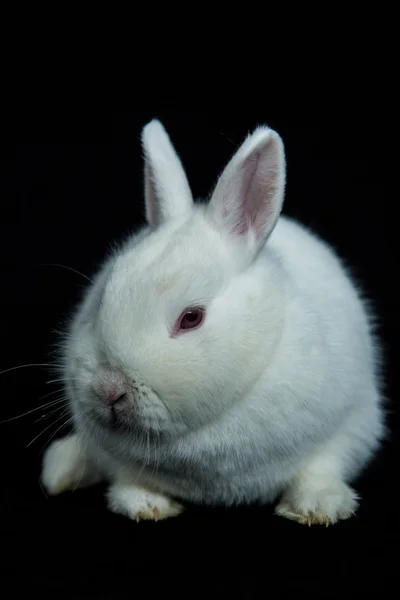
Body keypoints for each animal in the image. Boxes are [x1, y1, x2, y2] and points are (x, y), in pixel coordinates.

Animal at [40, 120, 384, 524]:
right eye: (102, 299)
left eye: (191, 318)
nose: (109, 388)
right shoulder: (115, 457)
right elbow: (127, 481)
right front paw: (146, 505)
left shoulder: (348, 427)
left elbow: (320, 469)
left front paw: (316, 507)